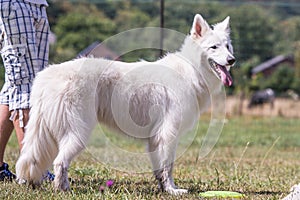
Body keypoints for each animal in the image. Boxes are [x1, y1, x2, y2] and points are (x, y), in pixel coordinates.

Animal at [15, 14, 234, 195]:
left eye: (228, 46)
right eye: (214, 47)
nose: (232, 60)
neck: (191, 69)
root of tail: (47, 76)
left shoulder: (155, 138)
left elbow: (159, 168)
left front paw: (163, 189)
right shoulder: (168, 134)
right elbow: (168, 166)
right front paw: (172, 190)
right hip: (79, 132)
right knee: (60, 162)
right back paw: (63, 189)